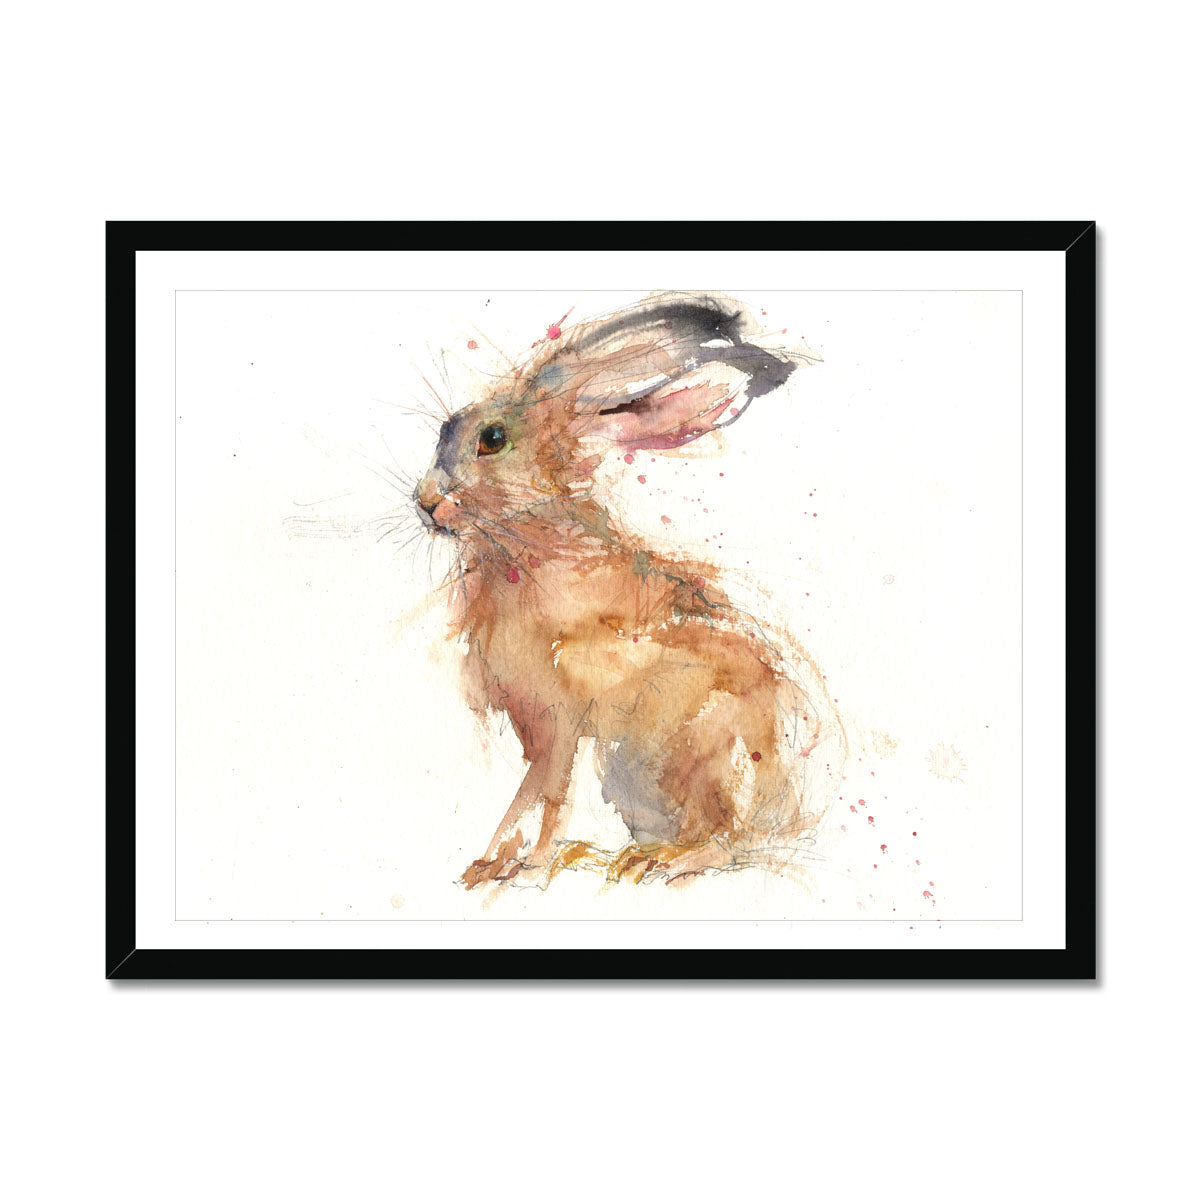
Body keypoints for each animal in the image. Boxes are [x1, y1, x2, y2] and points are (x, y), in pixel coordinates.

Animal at [413, 291, 845, 887]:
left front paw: (528, 865)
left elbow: (548, 795)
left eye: (493, 439)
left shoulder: (562, 718)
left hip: (713, 752)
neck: (529, 543)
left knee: (727, 840)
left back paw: (656, 861)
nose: (425, 502)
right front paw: (488, 865)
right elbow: (530, 793)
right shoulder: (537, 728)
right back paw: (607, 855)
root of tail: (798, 818)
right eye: (442, 430)